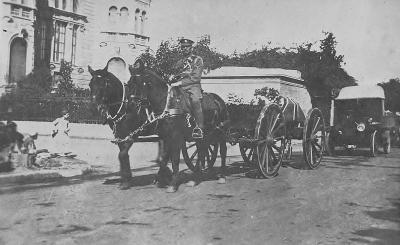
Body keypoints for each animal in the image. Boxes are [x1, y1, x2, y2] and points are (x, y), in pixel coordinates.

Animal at [89, 58, 230, 191]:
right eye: (91, 84)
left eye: (104, 84)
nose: (95, 107)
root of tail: (218, 100)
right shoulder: (122, 136)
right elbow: (125, 155)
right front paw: (128, 179)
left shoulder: (139, 135)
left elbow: (171, 157)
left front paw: (169, 182)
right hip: (203, 135)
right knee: (202, 151)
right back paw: (196, 178)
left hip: (220, 133)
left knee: (222, 150)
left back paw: (222, 176)